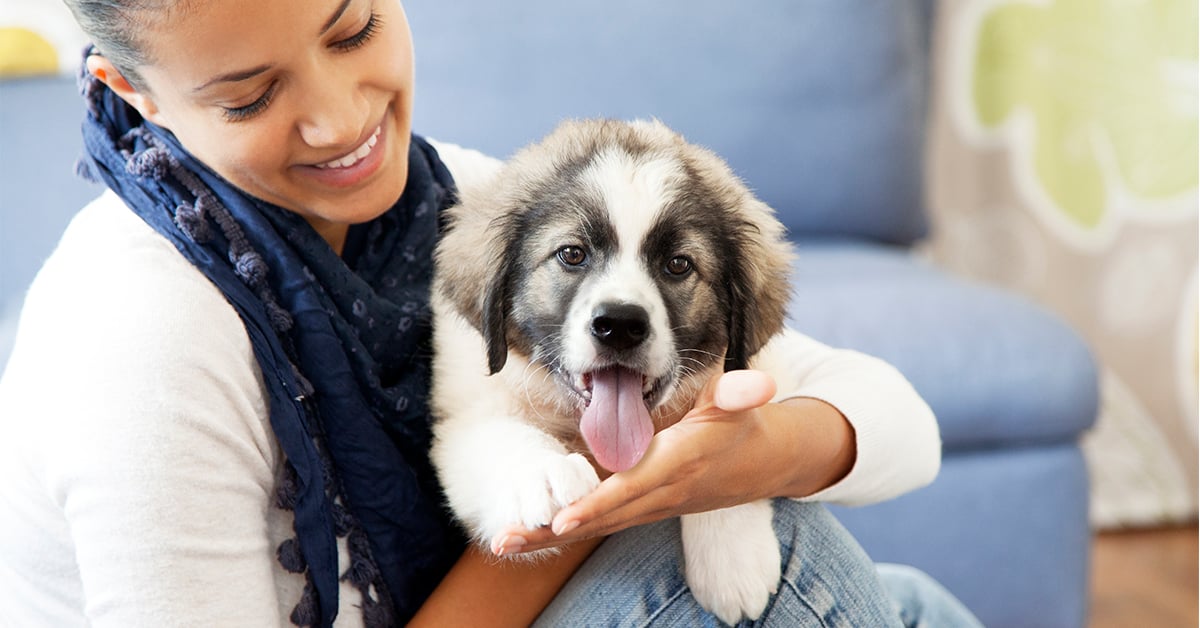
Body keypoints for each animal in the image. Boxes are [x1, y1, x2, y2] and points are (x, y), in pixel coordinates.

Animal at [432, 119, 796, 624]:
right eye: (572, 255)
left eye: (678, 264)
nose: (620, 324)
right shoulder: (464, 408)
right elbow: (498, 434)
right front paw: (542, 472)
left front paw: (733, 559)